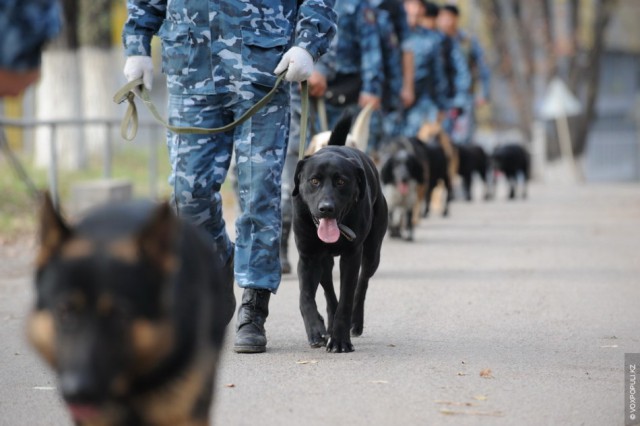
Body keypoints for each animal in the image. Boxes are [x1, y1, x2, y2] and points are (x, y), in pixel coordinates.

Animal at [292, 115, 388, 352]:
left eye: (341, 181)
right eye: (314, 181)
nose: (326, 208)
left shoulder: (352, 256)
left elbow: (347, 298)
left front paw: (340, 340)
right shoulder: (307, 257)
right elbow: (305, 296)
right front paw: (316, 330)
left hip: (372, 253)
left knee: (362, 283)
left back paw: (354, 322)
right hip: (324, 262)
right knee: (328, 290)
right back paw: (328, 322)